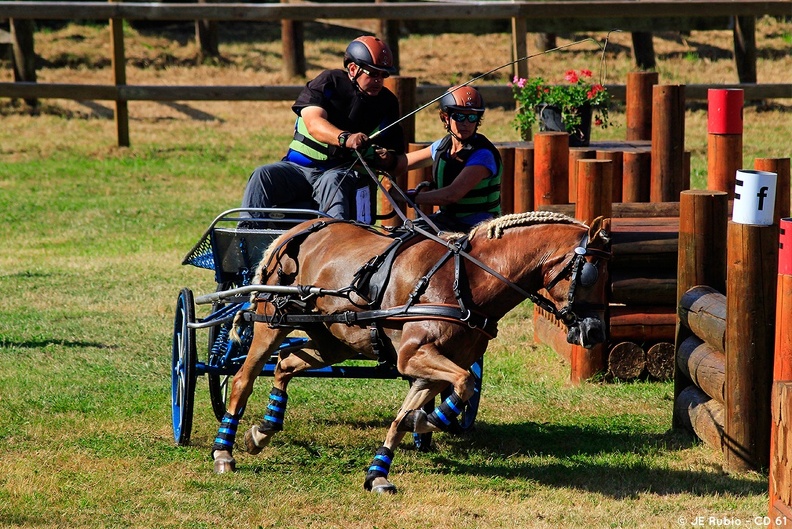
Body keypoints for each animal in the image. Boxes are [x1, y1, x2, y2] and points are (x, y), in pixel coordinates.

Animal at [210, 209, 612, 490]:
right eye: (588, 275)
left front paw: (380, 471)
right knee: (244, 378)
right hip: (270, 323)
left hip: (335, 340)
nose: (594, 331)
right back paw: (223, 450)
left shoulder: (434, 367)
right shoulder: (414, 356)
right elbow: (465, 384)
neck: (466, 282)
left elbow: (406, 415)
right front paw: (427, 422)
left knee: (286, 365)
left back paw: (263, 430)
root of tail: (296, 230)